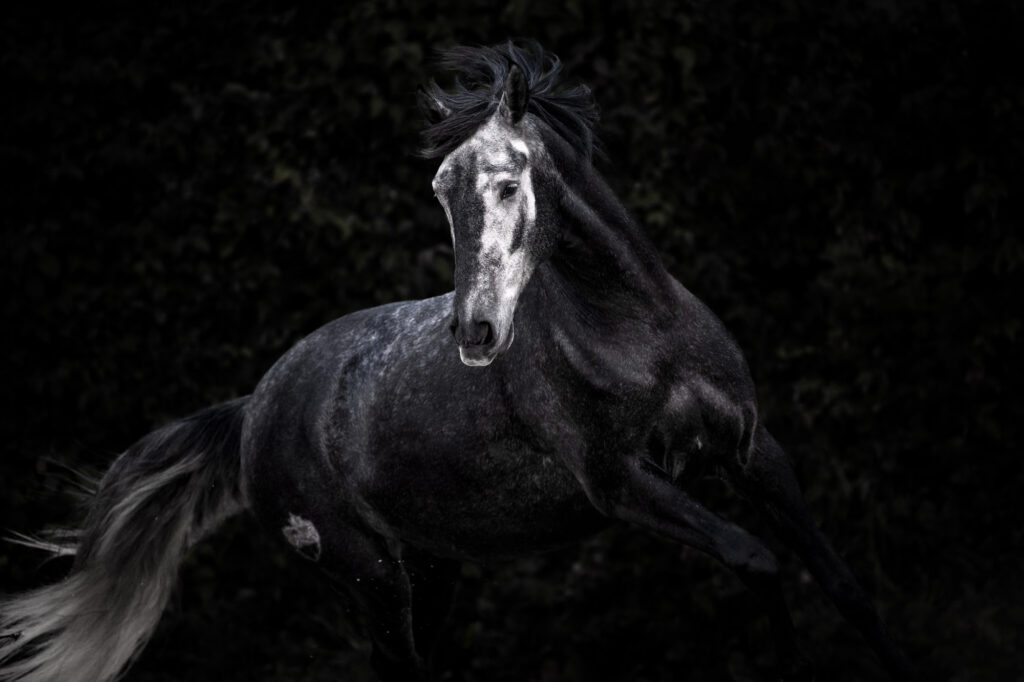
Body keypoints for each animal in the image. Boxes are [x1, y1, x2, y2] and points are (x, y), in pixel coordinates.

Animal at [0, 42, 916, 682]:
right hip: (370, 575)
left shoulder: (754, 453)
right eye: (443, 189)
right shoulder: (622, 485)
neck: (637, 333)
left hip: (432, 566)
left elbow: (845, 586)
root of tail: (253, 410)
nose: (476, 333)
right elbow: (758, 561)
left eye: (509, 183)